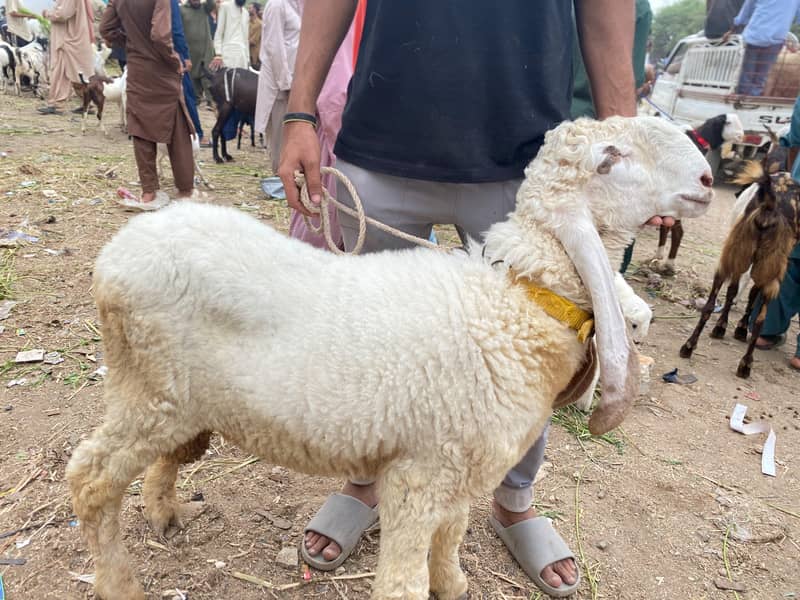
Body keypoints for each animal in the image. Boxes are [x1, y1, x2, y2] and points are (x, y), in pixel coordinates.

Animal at [66, 116, 714, 600]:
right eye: (610, 158)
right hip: (152, 392)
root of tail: (117, 253)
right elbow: (403, 581)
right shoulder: (419, 476)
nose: (708, 177)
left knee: (167, 456)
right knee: (90, 477)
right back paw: (118, 582)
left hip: (186, 400)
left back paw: (164, 510)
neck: (514, 304)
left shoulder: (459, 471)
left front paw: (453, 584)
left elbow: (451, 540)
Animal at [680, 158, 800, 378]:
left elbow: (735, 292)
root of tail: (769, 206)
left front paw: (726, 327)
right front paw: (735, 328)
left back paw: (691, 346)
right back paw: (744, 362)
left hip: (734, 256)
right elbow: (745, 293)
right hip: (765, 266)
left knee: (713, 305)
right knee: (757, 316)